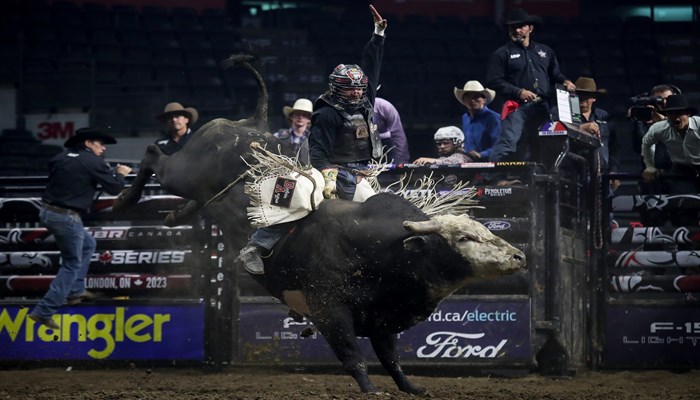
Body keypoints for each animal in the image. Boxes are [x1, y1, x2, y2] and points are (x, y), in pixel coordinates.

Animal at [255, 192, 526, 395]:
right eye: (463, 238)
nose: (519, 256)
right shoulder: (330, 310)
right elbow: (352, 353)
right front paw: (370, 390)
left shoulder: (384, 314)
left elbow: (391, 358)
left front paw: (411, 388)